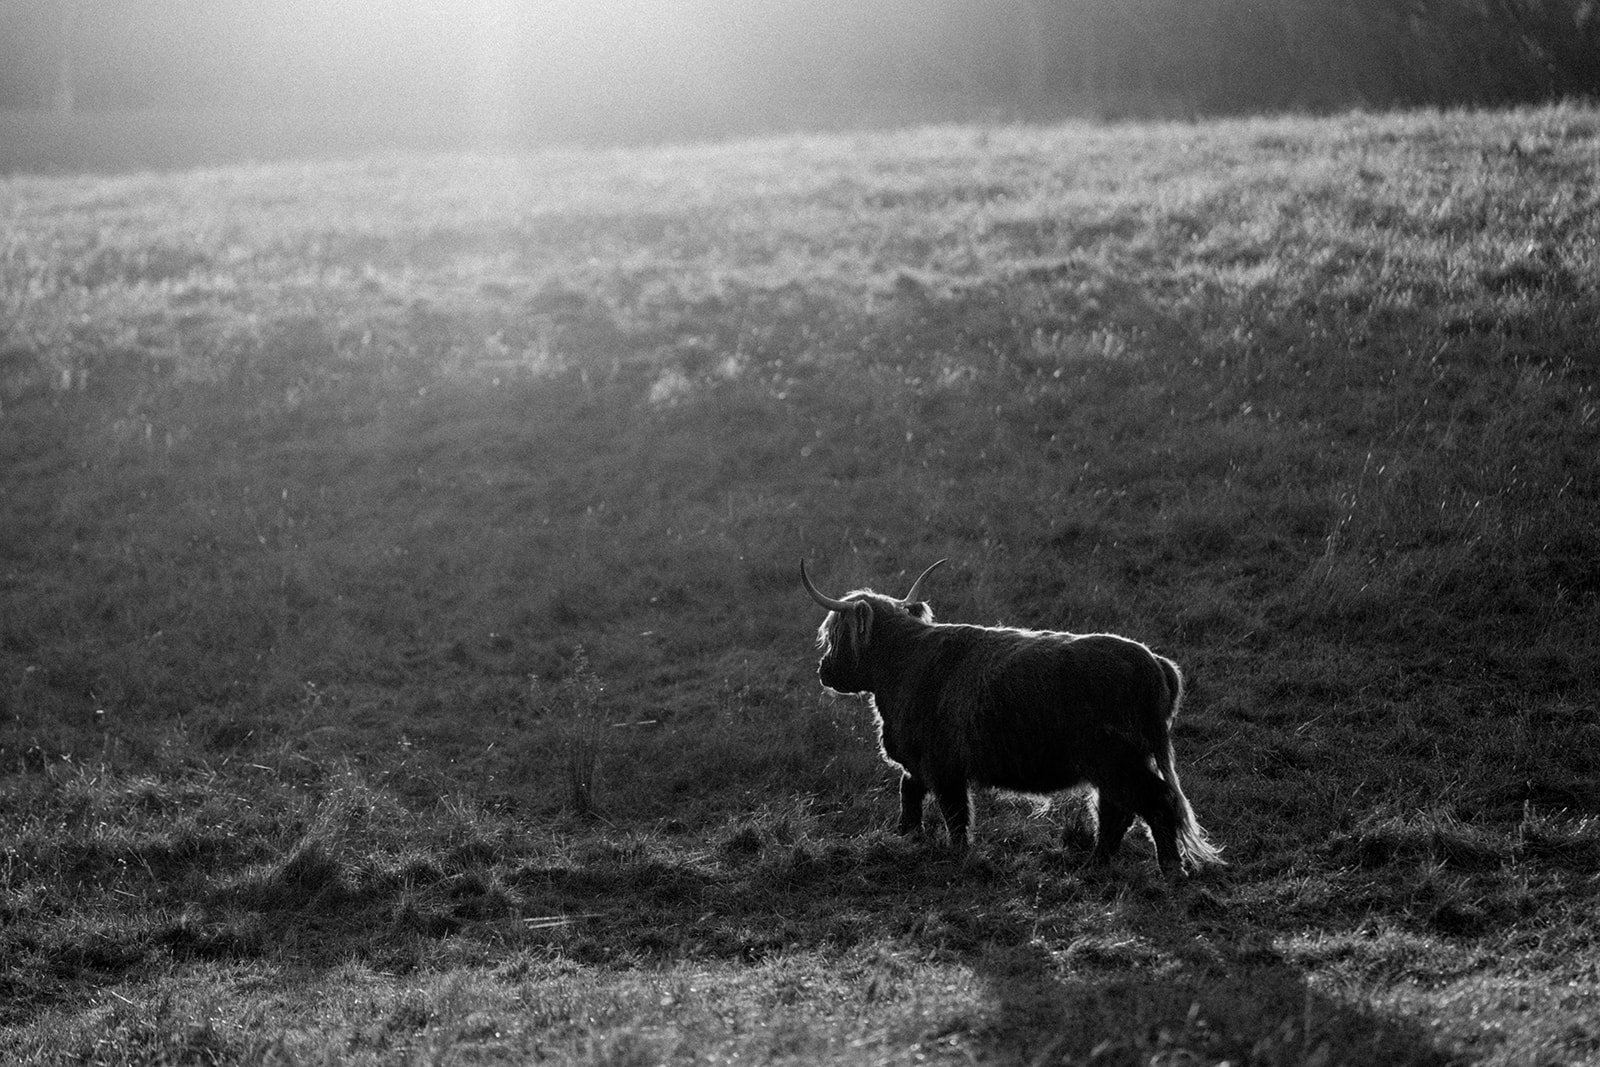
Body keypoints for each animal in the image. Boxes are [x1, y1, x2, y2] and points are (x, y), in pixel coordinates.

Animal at [801, 558, 1224, 876]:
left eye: (833, 636)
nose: (823, 670)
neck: (905, 662)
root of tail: (1152, 661)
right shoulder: (922, 763)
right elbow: (910, 794)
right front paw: (907, 835)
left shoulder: (943, 764)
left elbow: (954, 812)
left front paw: (957, 854)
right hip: (1112, 766)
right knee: (1117, 810)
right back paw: (1097, 863)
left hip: (1120, 760)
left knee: (1155, 802)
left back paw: (1170, 869)